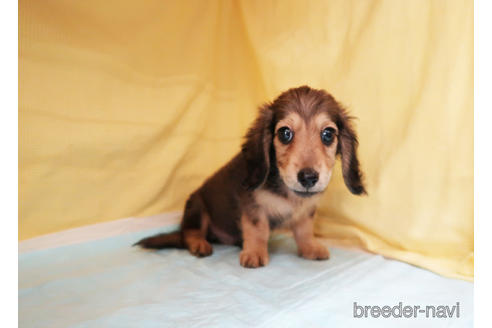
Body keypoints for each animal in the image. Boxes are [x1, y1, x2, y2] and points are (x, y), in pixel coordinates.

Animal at [135, 86, 366, 268]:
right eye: (285, 133)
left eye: (328, 134)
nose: (308, 177)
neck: (285, 189)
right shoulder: (252, 206)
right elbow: (257, 230)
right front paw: (254, 252)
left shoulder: (305, 211)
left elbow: (304, 231)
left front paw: (310, 248)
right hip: (197, 206)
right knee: (190, 232)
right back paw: (199, 244)